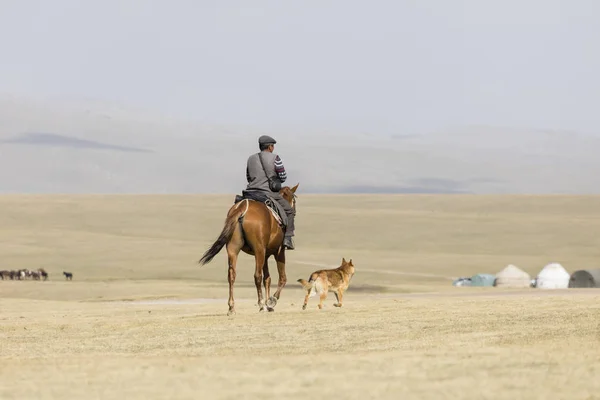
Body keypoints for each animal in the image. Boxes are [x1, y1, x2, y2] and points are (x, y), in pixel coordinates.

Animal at [198, 184, 298, 316]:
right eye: (294, 201)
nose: (294, 212)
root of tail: (241, 208)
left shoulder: (266, 255)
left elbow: (268, 279)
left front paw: (269, 305)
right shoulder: (279, 252)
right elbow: (282, 278)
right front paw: (271, 301)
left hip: (234, 249)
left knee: (232, 275)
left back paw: (232, 307)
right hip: (259, 250)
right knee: (257, 275)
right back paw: (261, 304)